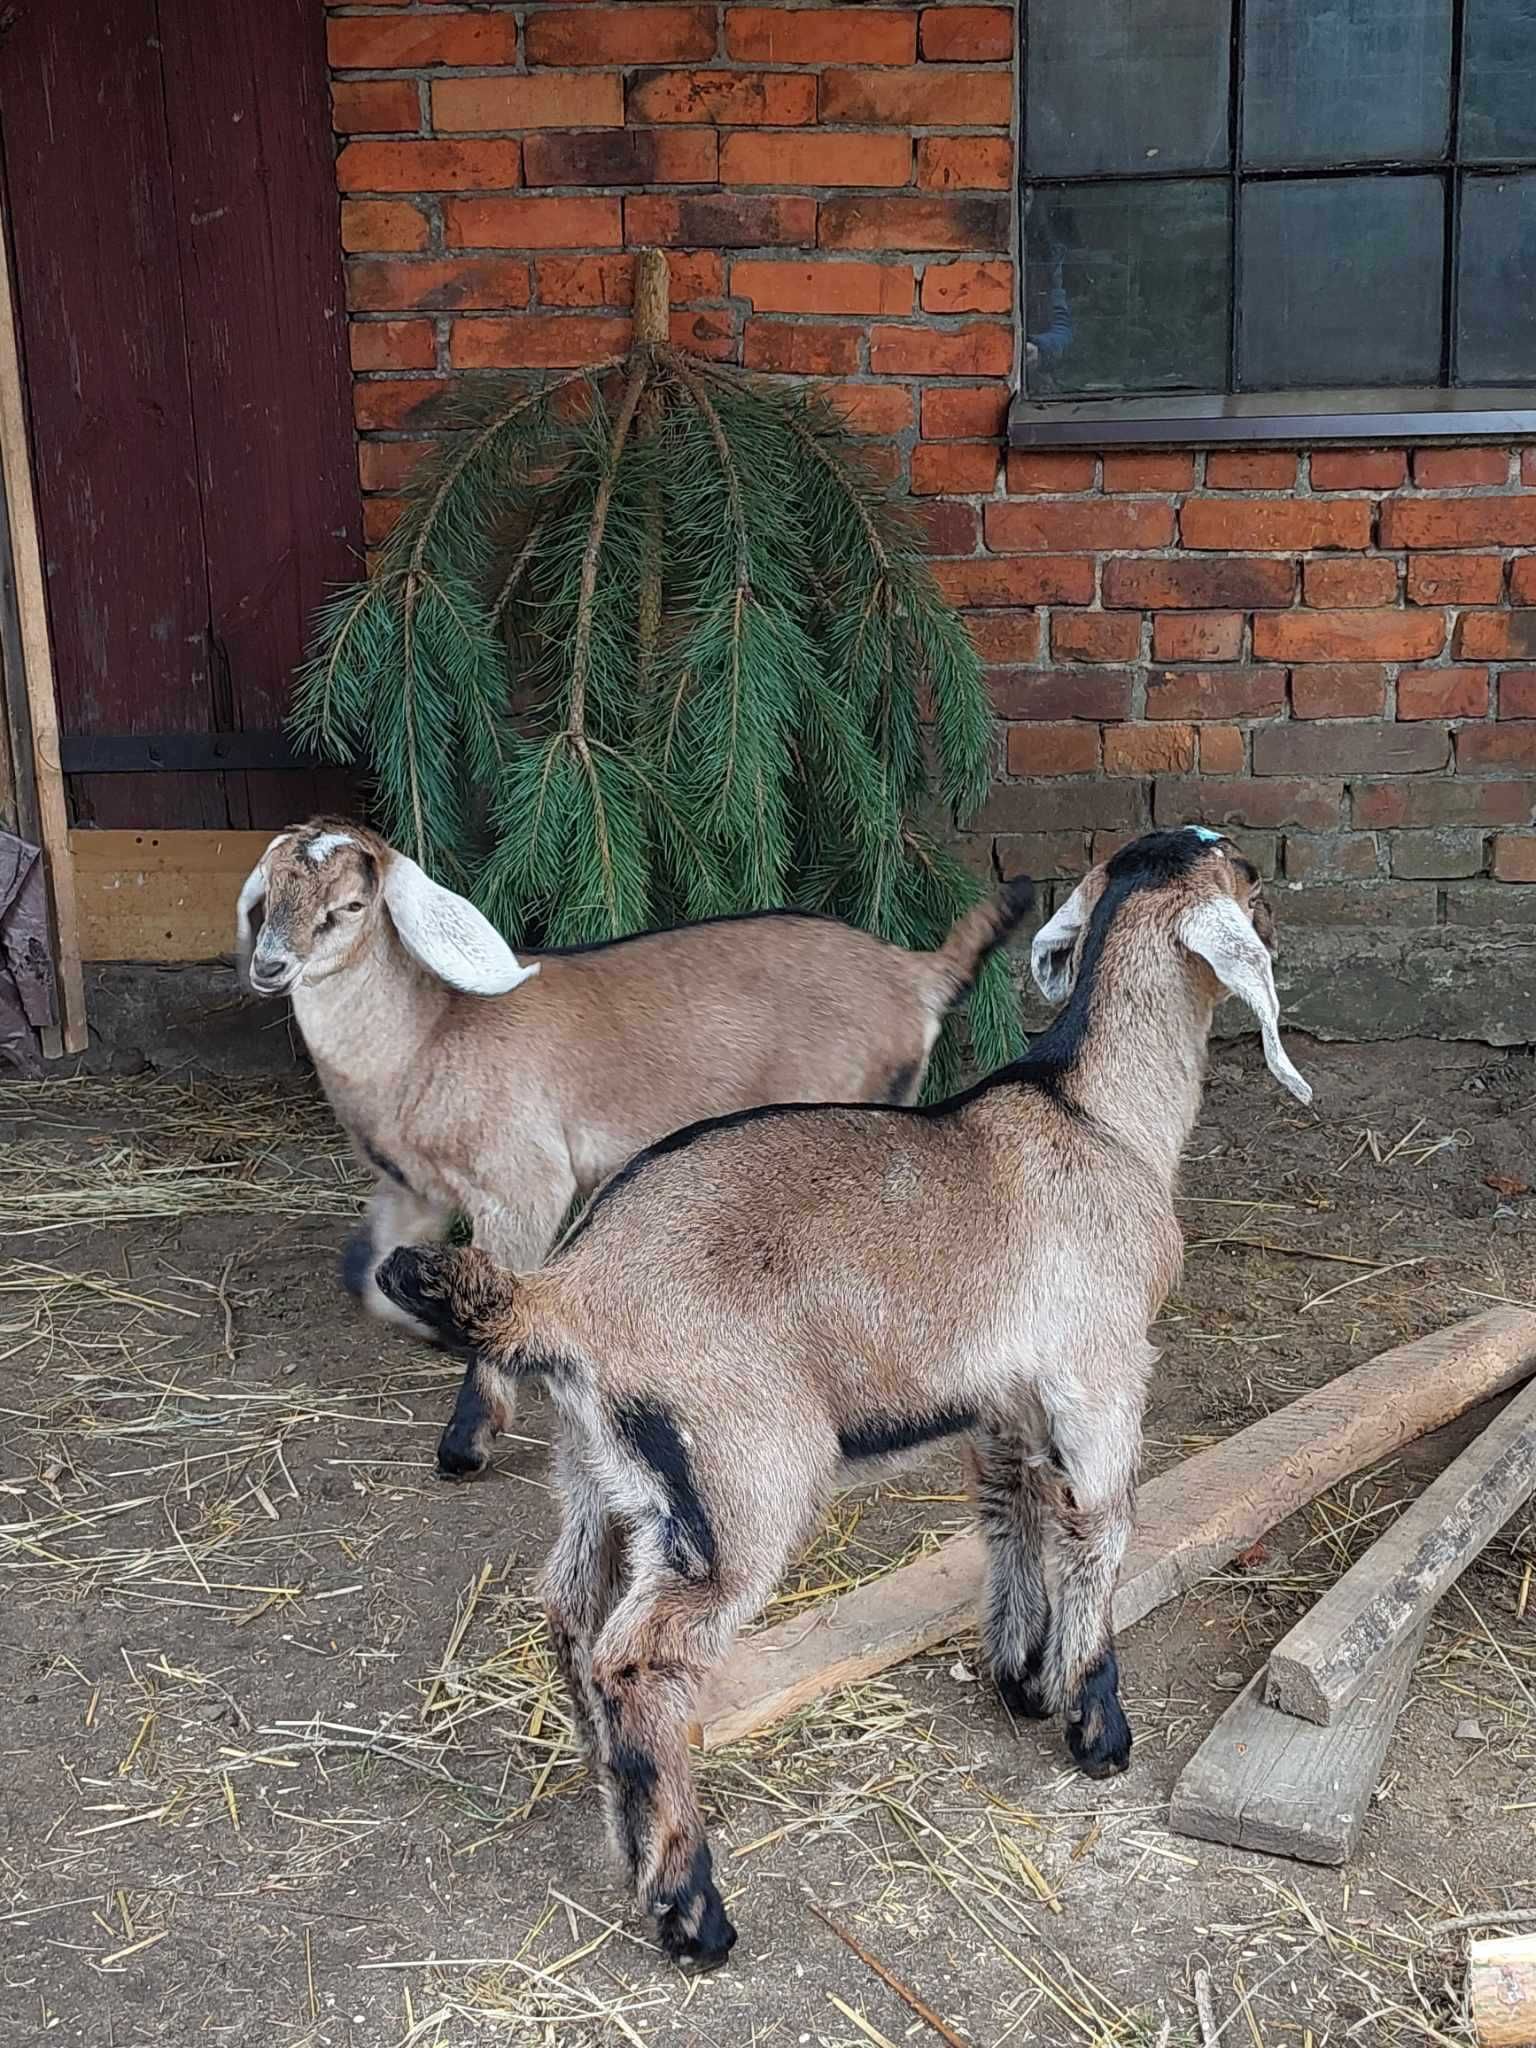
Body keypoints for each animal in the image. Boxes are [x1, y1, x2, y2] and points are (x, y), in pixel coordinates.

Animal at [237, 815, 1036, 1343]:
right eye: (267, 894)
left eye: (350, 905)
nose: (269, 967)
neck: (429, 1035)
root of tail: (914, 976)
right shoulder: (414, 1188)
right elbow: (367, 1280)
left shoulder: (523, 1182)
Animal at [378, 827, 1318, 1966]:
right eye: (1251, 887)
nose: (1283, 897)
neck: (1096, 1114)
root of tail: (565, 1290)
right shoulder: (1100, 1371)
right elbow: (1099, 1525)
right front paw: (1096, 1726)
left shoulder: (1003, 1394)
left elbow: (1012, 1510)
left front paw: (1020, 1675)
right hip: (741, 1471)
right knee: (641, 1660)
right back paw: (691, 1905)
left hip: (602, 1470)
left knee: (570, 1612)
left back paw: (624, 1837)